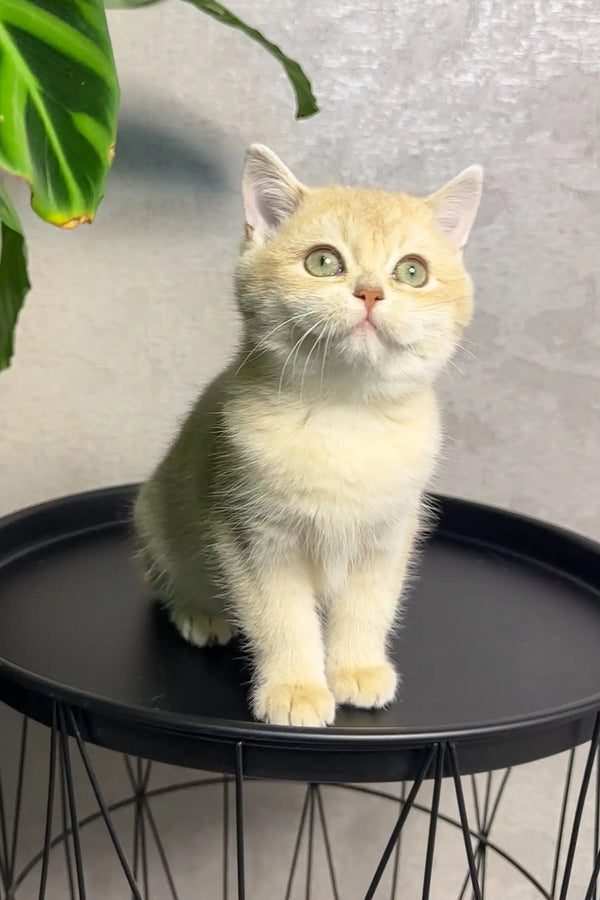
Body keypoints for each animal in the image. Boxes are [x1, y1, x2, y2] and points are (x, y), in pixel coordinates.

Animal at [135, 144, 482, 728]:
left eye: (412, 271)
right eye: (323, 261)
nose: (370, 292)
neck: (345, 416)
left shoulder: (389, 536)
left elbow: (369, 607)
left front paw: (357, 668)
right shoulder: (253, 538)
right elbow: (282, 619)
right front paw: (295, 688)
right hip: (157, 521)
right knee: (170, 581)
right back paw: (199, 612)